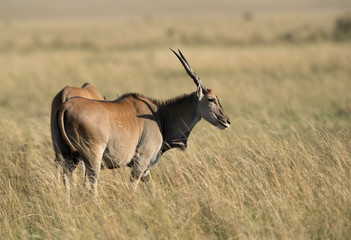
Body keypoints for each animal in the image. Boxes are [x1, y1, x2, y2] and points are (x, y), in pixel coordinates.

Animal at [51, 49, 231, 199]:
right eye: (211, 99)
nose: (226, 121)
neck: (160, 116)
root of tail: (66, 106)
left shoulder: (146, 169)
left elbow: (152, 189)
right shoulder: (141, 162)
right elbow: (133, 187)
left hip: (67, 157)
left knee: (67, 182)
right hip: (91, 158)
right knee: (89, 185)